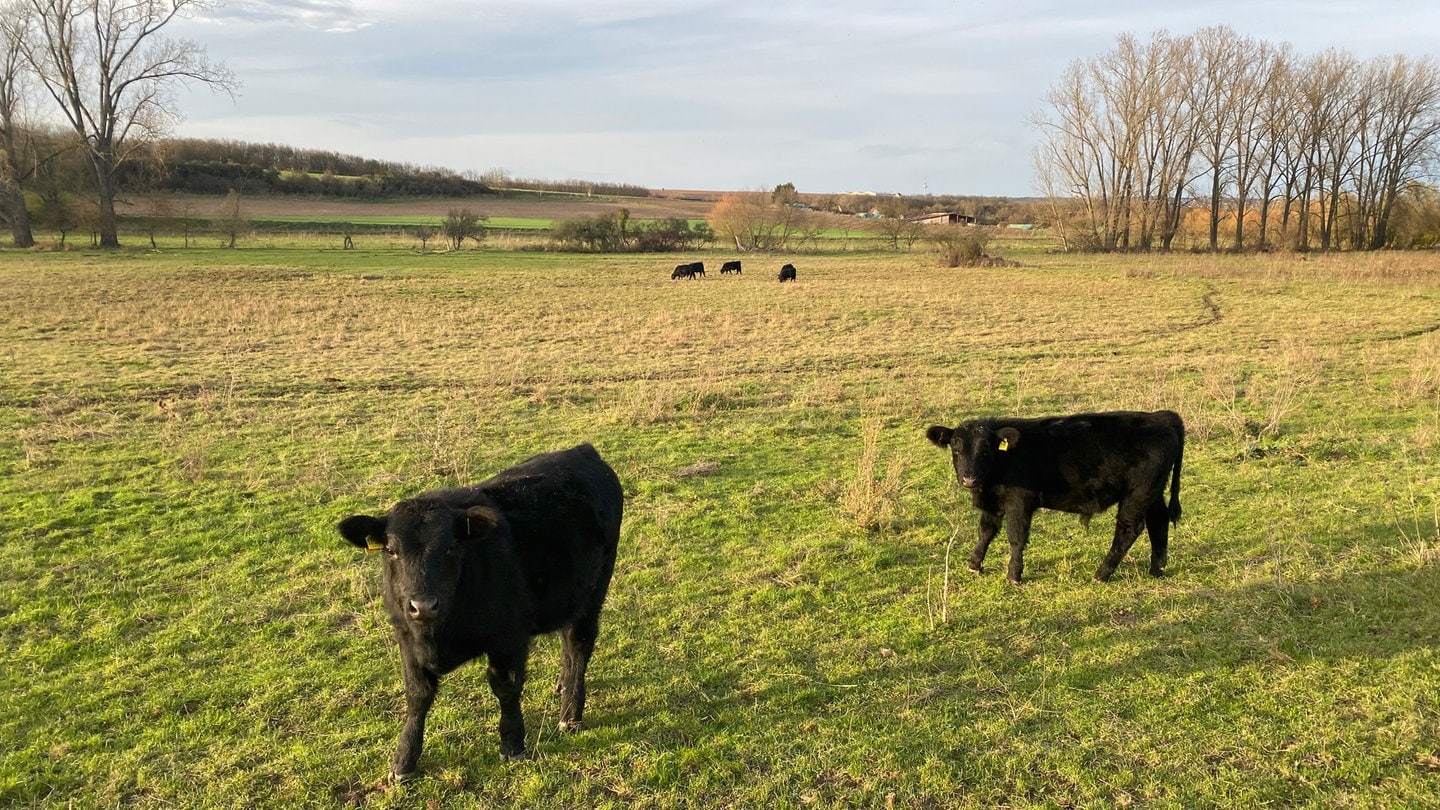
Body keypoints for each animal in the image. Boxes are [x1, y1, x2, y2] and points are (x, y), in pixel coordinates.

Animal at [344, 441, 630, 778]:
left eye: (451, 547)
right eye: (391, 550)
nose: (423, 605)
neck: (439, 634)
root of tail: (582, 450)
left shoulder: (509, 637)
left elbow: (506, 688)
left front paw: (512, 744)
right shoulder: (406, 637)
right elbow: (417, 696)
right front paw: (404, 761)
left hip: (594, 589)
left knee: (579, 643)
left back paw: (570, 713)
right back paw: (561, 684)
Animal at [927, 409, 1186, 579]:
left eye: (986, 450)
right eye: (956, 449)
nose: (969, 479)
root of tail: (1160, 416)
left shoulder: (1019, 503)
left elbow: (1016, 537)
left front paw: (1014, 575)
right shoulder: (994, 503)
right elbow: (985, 532)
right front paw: (974, 564)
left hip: (1139, 492)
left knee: (1129, 529)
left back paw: (1101, 573)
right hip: (1154, 492)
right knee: (1158, 521)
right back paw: (1157, 569)